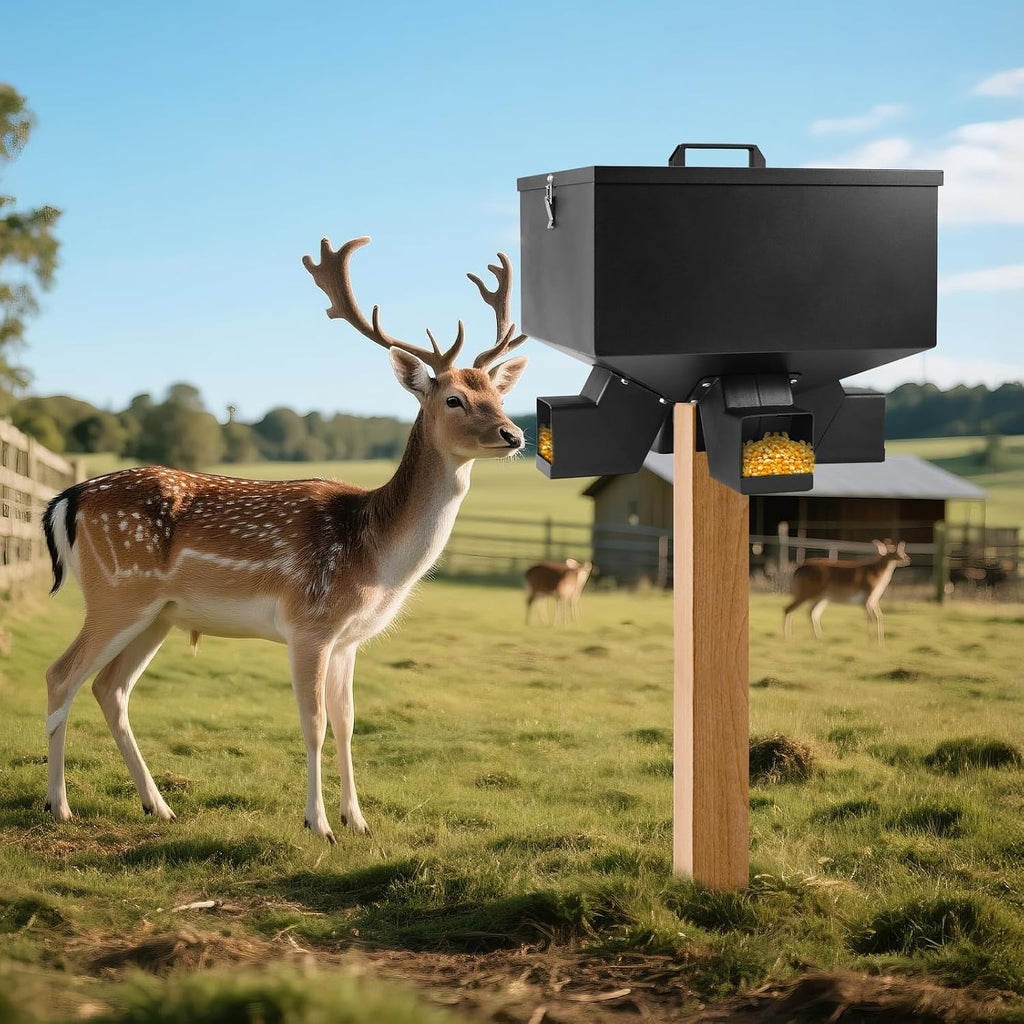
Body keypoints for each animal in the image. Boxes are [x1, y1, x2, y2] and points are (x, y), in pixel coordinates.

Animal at [40, 236, 528, 844]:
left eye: (498, 394)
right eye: (454, 399)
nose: (514, 433)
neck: (376, 558)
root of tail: (69, 498)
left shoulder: (348, 640)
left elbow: (347, 723)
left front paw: (358, 820)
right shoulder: (310, 625)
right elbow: (313, 723)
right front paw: (318, 824)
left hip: (158, 613)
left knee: (110, 688)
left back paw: (159, 805)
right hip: (116, 593)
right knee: (62, 675)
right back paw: (59, 805)